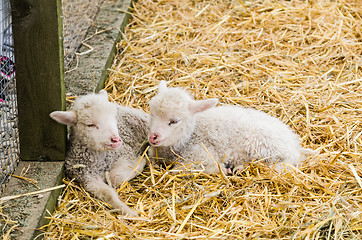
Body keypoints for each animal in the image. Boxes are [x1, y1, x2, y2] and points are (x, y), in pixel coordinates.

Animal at [148, 81, 312, 173]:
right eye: (152, 113)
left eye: (175, 121)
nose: (153, 137)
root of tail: (294, 142)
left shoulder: (199, 154)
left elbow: (178, 170)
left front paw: (223, 169)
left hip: (264, 144)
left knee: (289, 161)